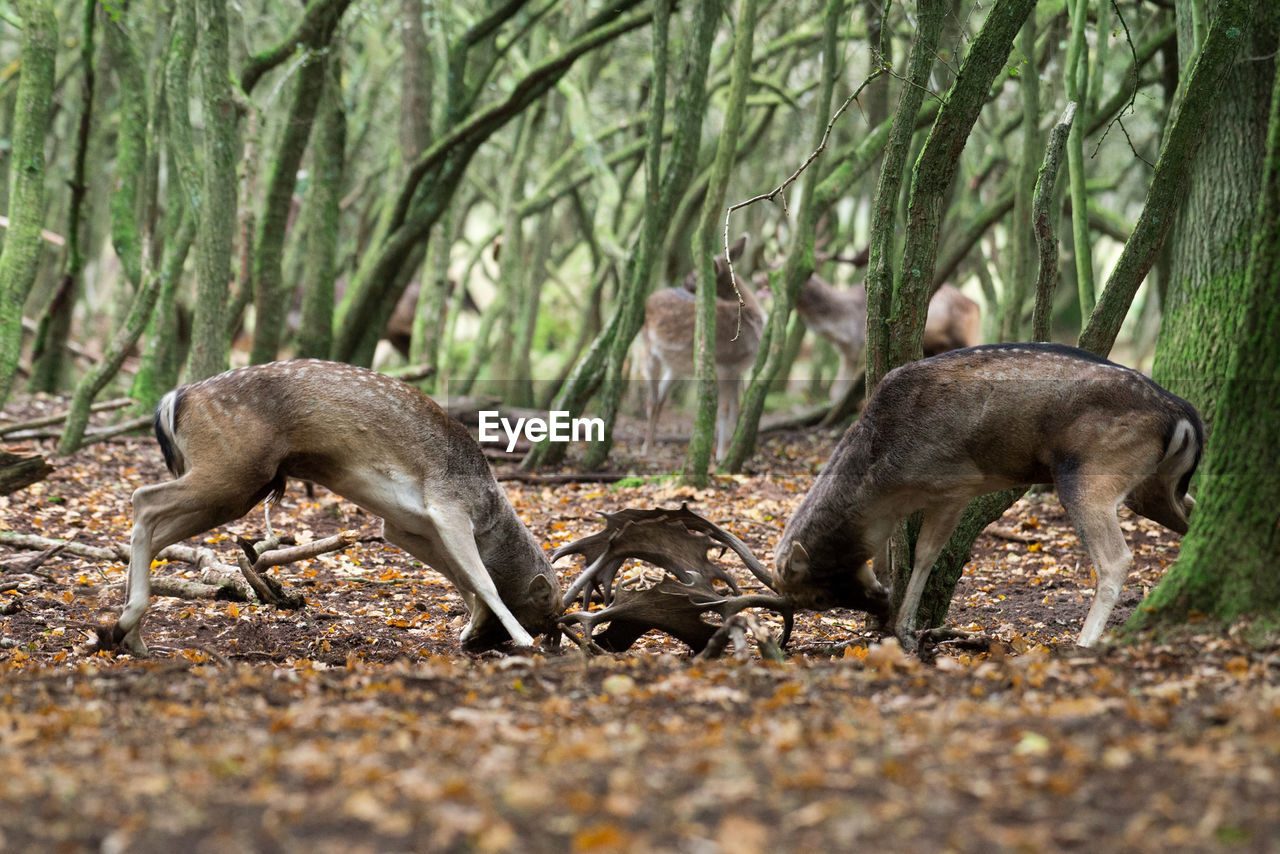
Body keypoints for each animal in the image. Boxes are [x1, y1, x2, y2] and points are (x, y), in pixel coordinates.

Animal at [99, 361, 560, 655]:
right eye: (546, 610)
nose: (554, 642)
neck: (489, 514)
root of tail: (175, 398)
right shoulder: (448, 506)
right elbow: (483, 580)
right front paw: (520, 639)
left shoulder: (406, 527)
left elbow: (462, 578)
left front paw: (471, 627)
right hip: (231, 470)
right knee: (144, 500)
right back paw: (126, 627)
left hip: (240, 486)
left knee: (156, 529)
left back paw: (129, 638)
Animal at [637, 234, 757, 460]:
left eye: (694, 276)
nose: (681, 284)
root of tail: (649, 298)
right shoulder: (724, 365)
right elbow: (723, 410)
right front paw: (721, 455)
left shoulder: (736, 370)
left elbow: (735, 409)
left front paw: (729, 450)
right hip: (647, 350)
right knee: (651, 399)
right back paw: (646, 451)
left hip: (676, 367)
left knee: (660, 400)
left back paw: (649, 448)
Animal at [773, 343, 1203, 647]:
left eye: (816, 600)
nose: (879, 607)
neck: (888, 480)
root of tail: (1183, 412)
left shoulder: (955, 484)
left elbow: (926, 554)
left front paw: (906, 630)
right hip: (1151, 489)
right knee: (1192, 509)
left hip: (1089, 474)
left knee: (1116, 559)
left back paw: (1083, 643)